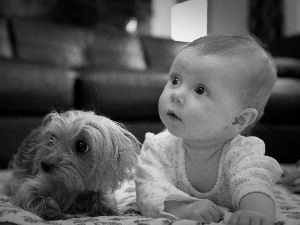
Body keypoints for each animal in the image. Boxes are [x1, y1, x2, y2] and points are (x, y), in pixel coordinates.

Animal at [3, 110, 140, 221]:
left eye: (81, 146)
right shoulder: (30, 188)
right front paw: (51, 212)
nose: (44, 165)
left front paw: (105, 208)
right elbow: (37, 197)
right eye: (53, 138)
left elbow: (104, 197)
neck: (72, 184)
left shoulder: (98, 187)